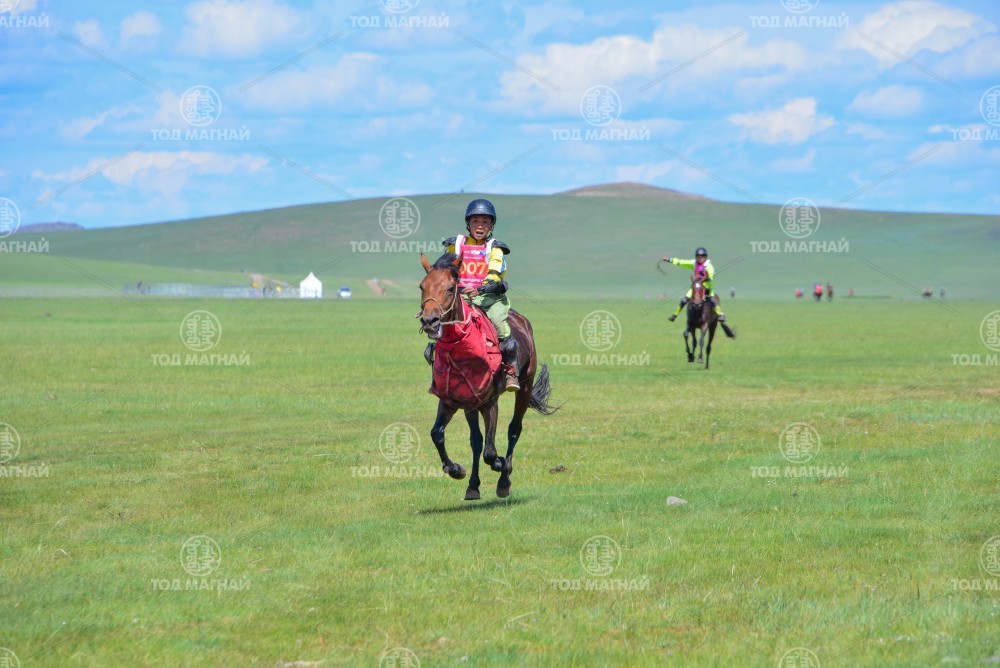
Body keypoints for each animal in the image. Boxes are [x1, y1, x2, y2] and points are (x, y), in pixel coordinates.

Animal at [417, 252, 559, 500]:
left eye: (450, 288)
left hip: (525, 386)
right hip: (473, 405)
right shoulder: (454, 400)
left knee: (514, 429)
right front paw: (456, 470)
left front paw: (500, 467)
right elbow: (438, 434)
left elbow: (491, 452)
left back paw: (504, 477)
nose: (429, 321)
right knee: (477, 441)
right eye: (422, 287)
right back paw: (473, 485)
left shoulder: (490, 402)